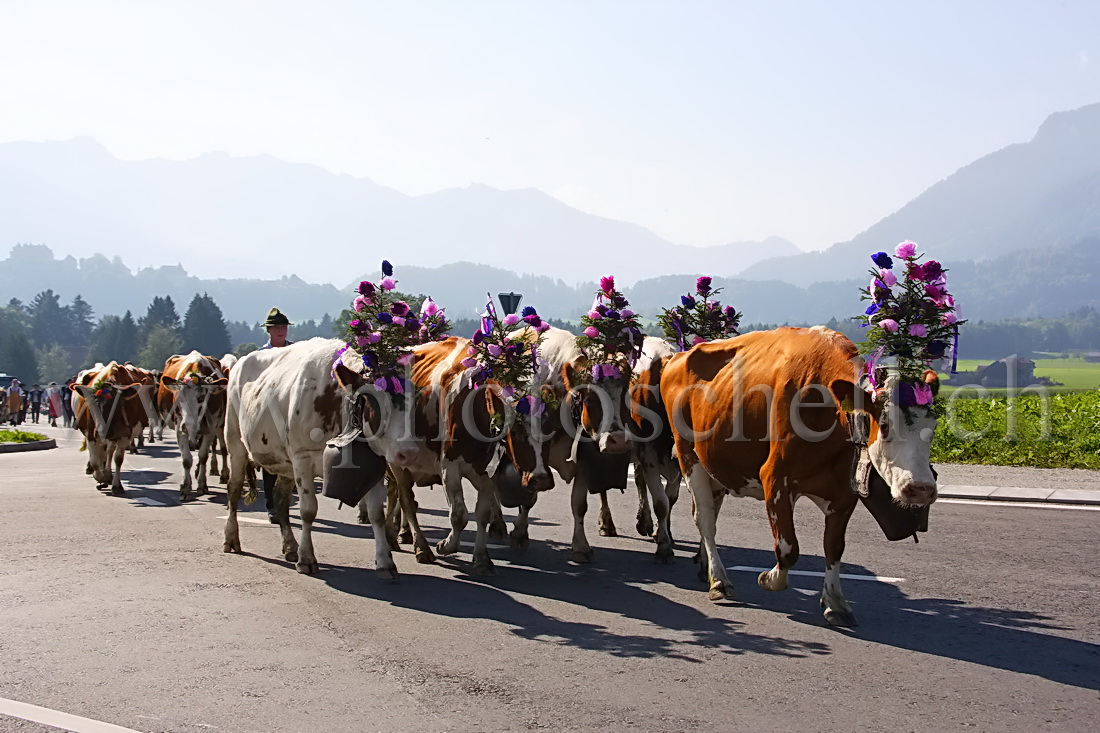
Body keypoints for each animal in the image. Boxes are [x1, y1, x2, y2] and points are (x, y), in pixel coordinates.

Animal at [70, 360, 151, 497]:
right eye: (92, 405)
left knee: (108, 452)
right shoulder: (91, 435)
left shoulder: (124, 434)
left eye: (116, 404)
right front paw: (100, 478)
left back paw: (108, 473)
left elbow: (118, 459)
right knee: (100, 454)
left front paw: (116, 485)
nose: (101, 431)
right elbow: (94, 460)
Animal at [159, 352, 227, 499]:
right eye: (179, 397)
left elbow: (203, 456)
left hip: (220, 426)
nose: (187, 425)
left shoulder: (211, 429)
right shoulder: (179, 428)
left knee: (223, 449)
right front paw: (185, 486)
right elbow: (186, 459)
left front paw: (202, 485)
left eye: (201, 398)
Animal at [655, 327, 941, 625]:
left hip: (716, 463)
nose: (921, 489)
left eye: (933, 426)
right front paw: (769, 579)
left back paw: (704, 566)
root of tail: (677, 356)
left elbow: (834, 547)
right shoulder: (775, 478)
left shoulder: (844, 492)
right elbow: (788, 548)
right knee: (705, 521)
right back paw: (719, 580)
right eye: (884, 426)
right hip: (689, 456)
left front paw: (835, 602)